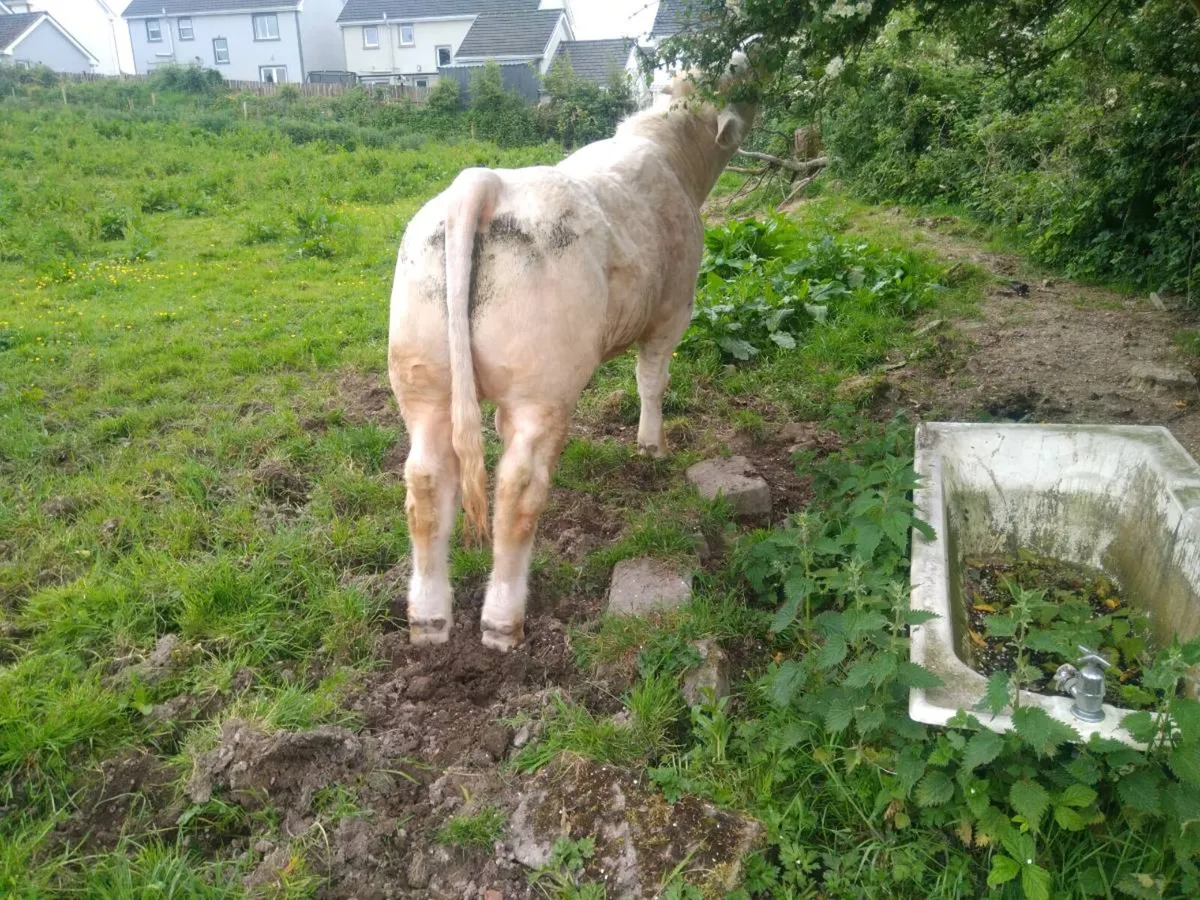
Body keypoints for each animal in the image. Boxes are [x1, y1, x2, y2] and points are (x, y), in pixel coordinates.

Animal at [387, 53, 758, 651]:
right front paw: (651, 447)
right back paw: (502, 620)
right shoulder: (672, 311)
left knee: (425, 480)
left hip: (423, 379)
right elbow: (652, 382)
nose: (753, 53)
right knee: (518, 488)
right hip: (543, 391)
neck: (674, 155)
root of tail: (487, 181)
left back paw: (429, 617)